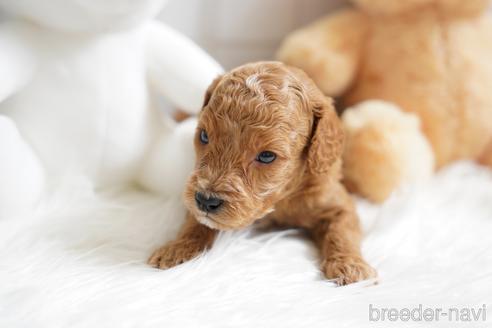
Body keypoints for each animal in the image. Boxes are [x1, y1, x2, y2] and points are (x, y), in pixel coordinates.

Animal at [150, 60, 376, 284]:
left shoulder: (335, 201)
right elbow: (196, 221)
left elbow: (342, 230)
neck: (280, 198)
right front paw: (177, 248)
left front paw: (350, 265)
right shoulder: (194, 189)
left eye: (267, 156)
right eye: (204, 136)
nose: (206, 201)